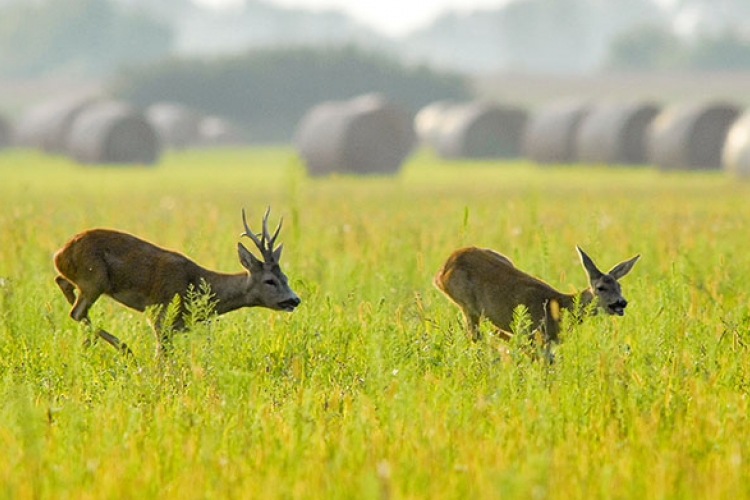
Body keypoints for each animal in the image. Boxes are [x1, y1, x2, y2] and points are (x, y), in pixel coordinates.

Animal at [53, 208, 300, 356]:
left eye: (285, 278)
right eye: (270, 281)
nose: (295, 299)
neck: (199, 284)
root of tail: (59, 253)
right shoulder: (160, 315)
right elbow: (162, 357)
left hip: (86, 281)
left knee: (65, 287)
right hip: (95, 279)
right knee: (77, 312)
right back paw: (126, 350)